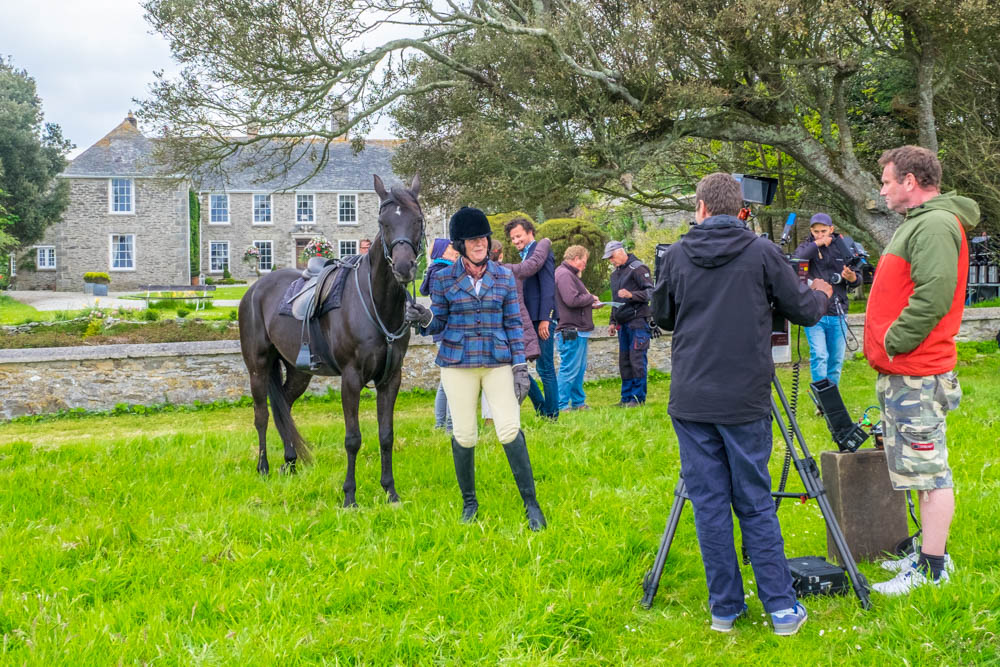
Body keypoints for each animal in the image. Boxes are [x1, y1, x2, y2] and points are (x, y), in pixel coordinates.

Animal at [240, 174, 424, 506]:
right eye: (383, 222)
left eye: (417, 219)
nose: (404, 268)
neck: (377, 303)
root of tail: (255, 289)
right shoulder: (351, 378)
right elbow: (353, 439)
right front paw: (349, 495)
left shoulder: (391, 378)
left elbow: (386, 435)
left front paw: (390, 491)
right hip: (257, 367)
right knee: (262, 415)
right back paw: (264, 468)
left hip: (298, 371)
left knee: (284, 407)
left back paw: (290, 462)